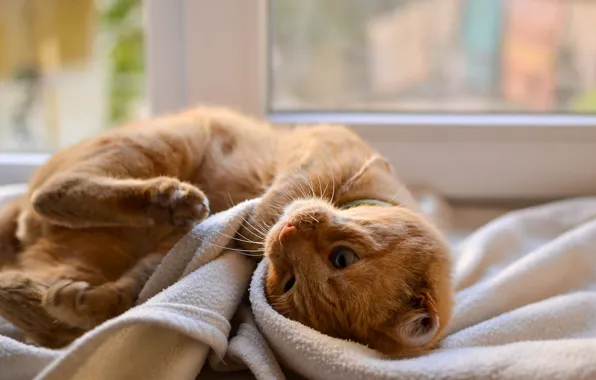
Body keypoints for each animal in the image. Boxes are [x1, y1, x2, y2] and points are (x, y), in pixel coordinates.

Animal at [0, 104, 450, 356]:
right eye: (343, 258)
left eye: (288, 282)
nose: (284, 238)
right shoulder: (317, 152)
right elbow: (272, 204)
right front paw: (252, 223)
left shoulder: (165, 258)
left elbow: (140, 287)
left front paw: (90, 302)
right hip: (169, 139)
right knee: (50, 193)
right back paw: (171, 200)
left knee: (23, 294)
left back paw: (66, 302)